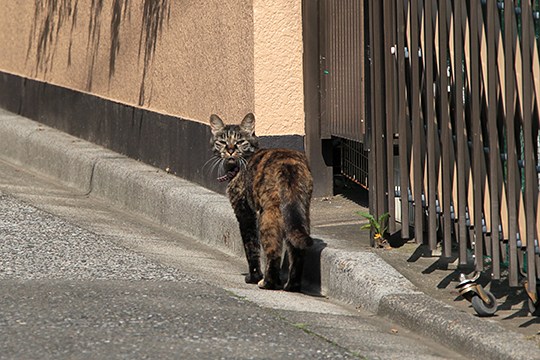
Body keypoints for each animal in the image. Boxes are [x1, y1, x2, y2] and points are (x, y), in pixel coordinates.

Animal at [209, 114, 314, 292]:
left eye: (240, 141)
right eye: (222, 141)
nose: (230, 150)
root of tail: (288, 164)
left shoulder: (244, 212)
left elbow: (251, 246)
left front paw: (253, 276)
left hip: (268, 214)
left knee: (273, 251)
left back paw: (267, 282)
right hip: (299, 211)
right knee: (297, 249)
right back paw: (291, 285)